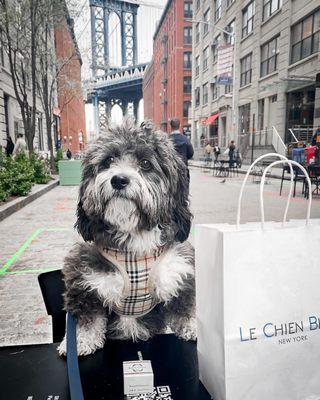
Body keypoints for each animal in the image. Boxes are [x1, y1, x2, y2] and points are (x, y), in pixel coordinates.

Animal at [58, 119, 196, 356]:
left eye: (146, 163)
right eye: (108, 161)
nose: (119, 179)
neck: (133, 240)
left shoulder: (181, 274)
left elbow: (183, 308)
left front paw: (193, 327)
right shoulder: (84, 282)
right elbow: (87, 319)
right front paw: (80, 341)